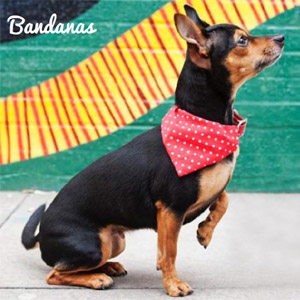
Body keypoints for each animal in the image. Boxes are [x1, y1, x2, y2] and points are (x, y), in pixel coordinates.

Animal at [21, 5, 284, 296]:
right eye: (242, 40)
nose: (282, 37)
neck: (205, 123)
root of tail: (41, 234)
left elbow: (224, 199)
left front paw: (205, 230)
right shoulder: (170, 209)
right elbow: (169, 252)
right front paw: (173, 284)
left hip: (116, 241)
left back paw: (108, 268)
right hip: (93, 244)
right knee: (55, 273)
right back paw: (97, 278)